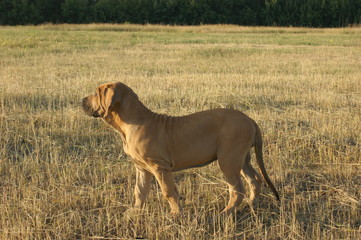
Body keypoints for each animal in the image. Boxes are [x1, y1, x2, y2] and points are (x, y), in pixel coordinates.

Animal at [83, 81, 280, 215]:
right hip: (242, 158)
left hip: (229, 159)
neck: (132, 122)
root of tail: (249, 120)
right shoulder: (142, 168)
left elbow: (169, 192)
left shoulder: (160, 167)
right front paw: (135, 212)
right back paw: (251, 204)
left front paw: (176, 215)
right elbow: (139, 191)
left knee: (237, 188)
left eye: (96, 93)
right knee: (254, 180)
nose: (82, 99)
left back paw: (226, 212)